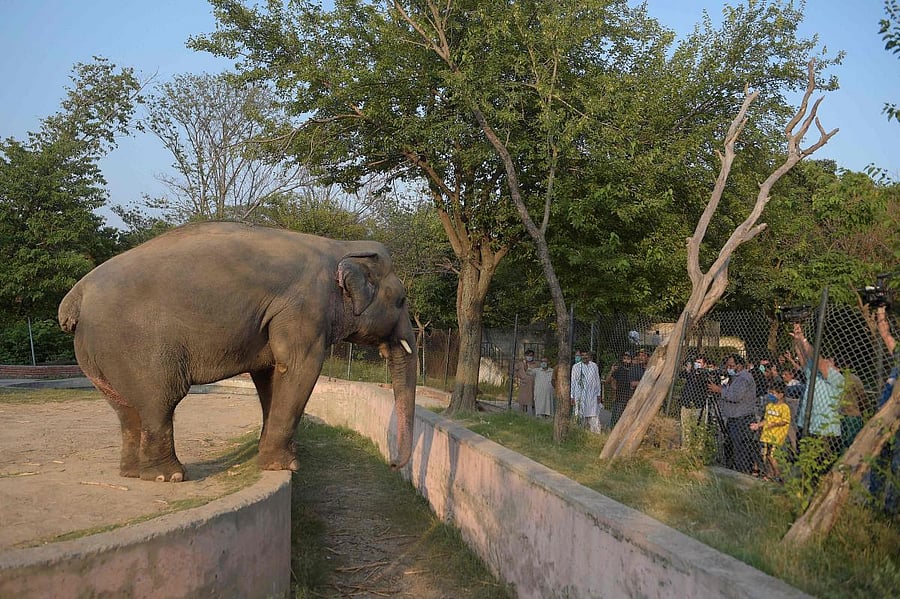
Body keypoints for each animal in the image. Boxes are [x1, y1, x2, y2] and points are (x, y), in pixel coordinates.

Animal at [58, 221, 417, 482]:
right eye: (401, 300)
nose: (393, 466)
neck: (341, 246)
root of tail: (76, 296)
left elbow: (270, 373)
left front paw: (277, 456)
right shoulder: (304, 308)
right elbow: (299, 367)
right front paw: (286, 466)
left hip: (97, 353)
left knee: (126, 409)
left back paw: (134, 473)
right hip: (135, 344)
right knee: (161, 399)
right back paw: (169, 477)